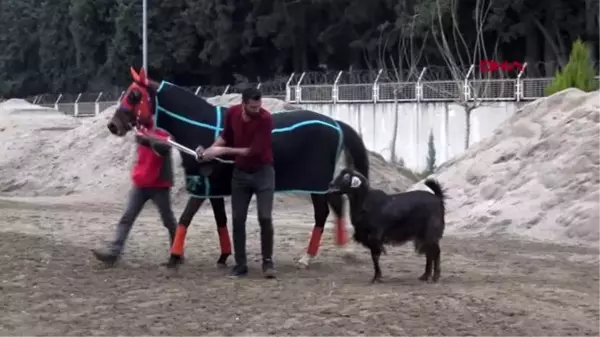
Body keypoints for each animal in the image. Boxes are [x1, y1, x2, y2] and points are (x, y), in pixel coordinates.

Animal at [108, 67, 370, 268]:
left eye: (134, 95)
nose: (113, 125)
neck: (201, 127)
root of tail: (335, 122)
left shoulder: (201, 187)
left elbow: (184, 219)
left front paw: (174, 257)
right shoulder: (212, 189)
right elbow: (220, 221)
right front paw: (224, 256)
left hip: (315, 183)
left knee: (323, 213)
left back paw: (309, 256)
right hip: (321, 184)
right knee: (336, 205)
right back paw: (343, 250)